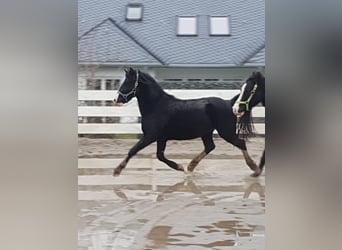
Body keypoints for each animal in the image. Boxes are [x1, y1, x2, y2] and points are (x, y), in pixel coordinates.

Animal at [113, 68, 260, 177]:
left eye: (128, 82)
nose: (115, 100)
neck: (156, 106)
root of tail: (229, 103)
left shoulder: (150, 136)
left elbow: (133, 150)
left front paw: (117, 170)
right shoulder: (161, 138)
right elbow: (160, 156)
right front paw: (180, 167)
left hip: (226, 132)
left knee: (240, 143)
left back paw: (254, 167)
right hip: (206, 132)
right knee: (210, 147)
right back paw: (190, 167)